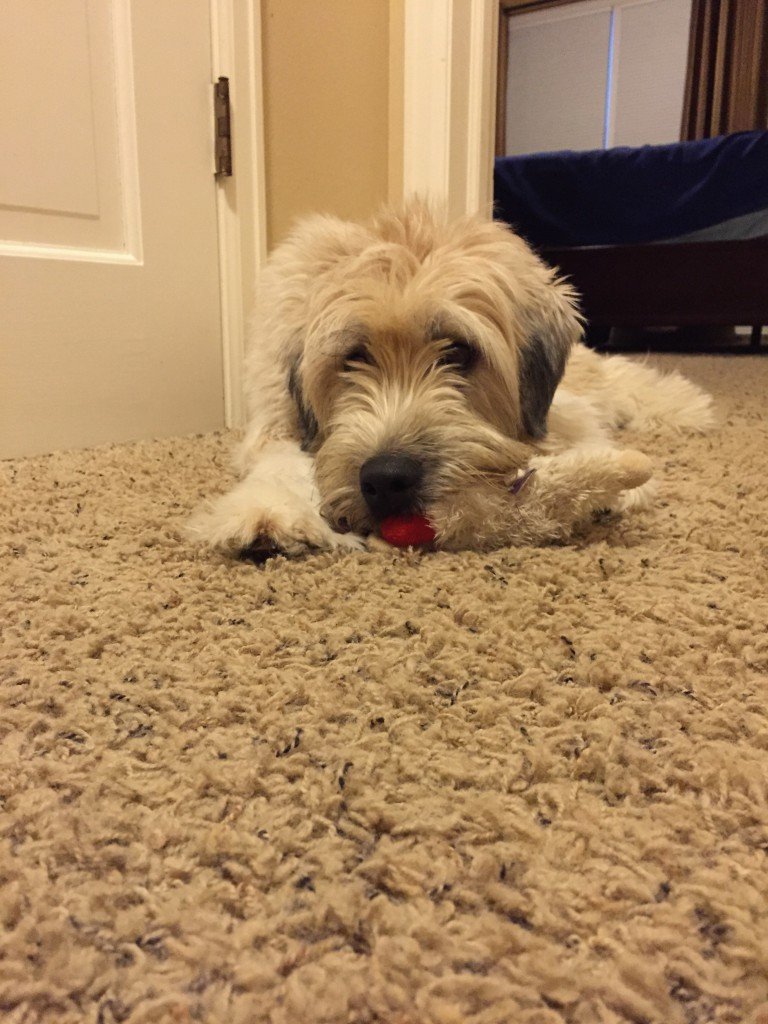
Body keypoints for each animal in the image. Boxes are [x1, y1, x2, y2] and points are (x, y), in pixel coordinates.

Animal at [193, 196, 716, 557]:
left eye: (459, 351)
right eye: (353, 357)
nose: (387, 479)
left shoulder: (560, 409)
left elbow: (577, 431)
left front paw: (604, 478)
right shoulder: (275, 416)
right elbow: (283, 459)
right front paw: (268, 514)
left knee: (619, 379)